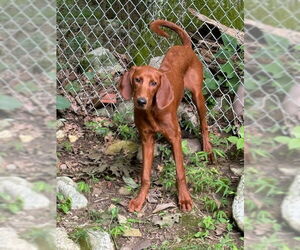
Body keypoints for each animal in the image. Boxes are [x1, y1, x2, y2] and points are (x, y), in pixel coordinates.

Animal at [119, 19, 213, 212]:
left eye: (154, 83)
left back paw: (208, 149)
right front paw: (140, 199)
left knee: (203, 123)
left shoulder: (176, 138)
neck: (152, 111)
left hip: (198, 95)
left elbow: (180, 172)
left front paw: (184, 199)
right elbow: (145, 175)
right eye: (137, 79)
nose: (141, 101)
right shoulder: (147, 139)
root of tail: (185, 47)